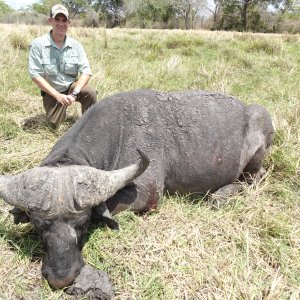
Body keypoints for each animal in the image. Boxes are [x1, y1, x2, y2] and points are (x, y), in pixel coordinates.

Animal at [0, 89, 274, 288]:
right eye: (38, 225)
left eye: (82, 223)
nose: (61, 277)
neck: (119, 131)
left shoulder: (146, 193)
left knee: (253, 179)